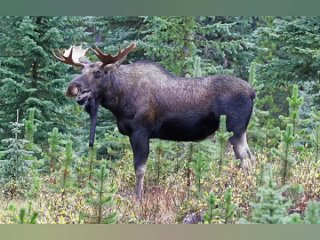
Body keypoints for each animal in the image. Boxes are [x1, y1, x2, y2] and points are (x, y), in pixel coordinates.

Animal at [53, 42, 256, 200]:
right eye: (82, 70)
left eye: (97, 72)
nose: (72, 88)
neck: (119, 100)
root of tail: (253, 93)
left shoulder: (141, 131)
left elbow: (140, 169)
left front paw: (139, 200)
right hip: (240, 132)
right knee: (251, 157)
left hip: (234, 129)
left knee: (245, 160)